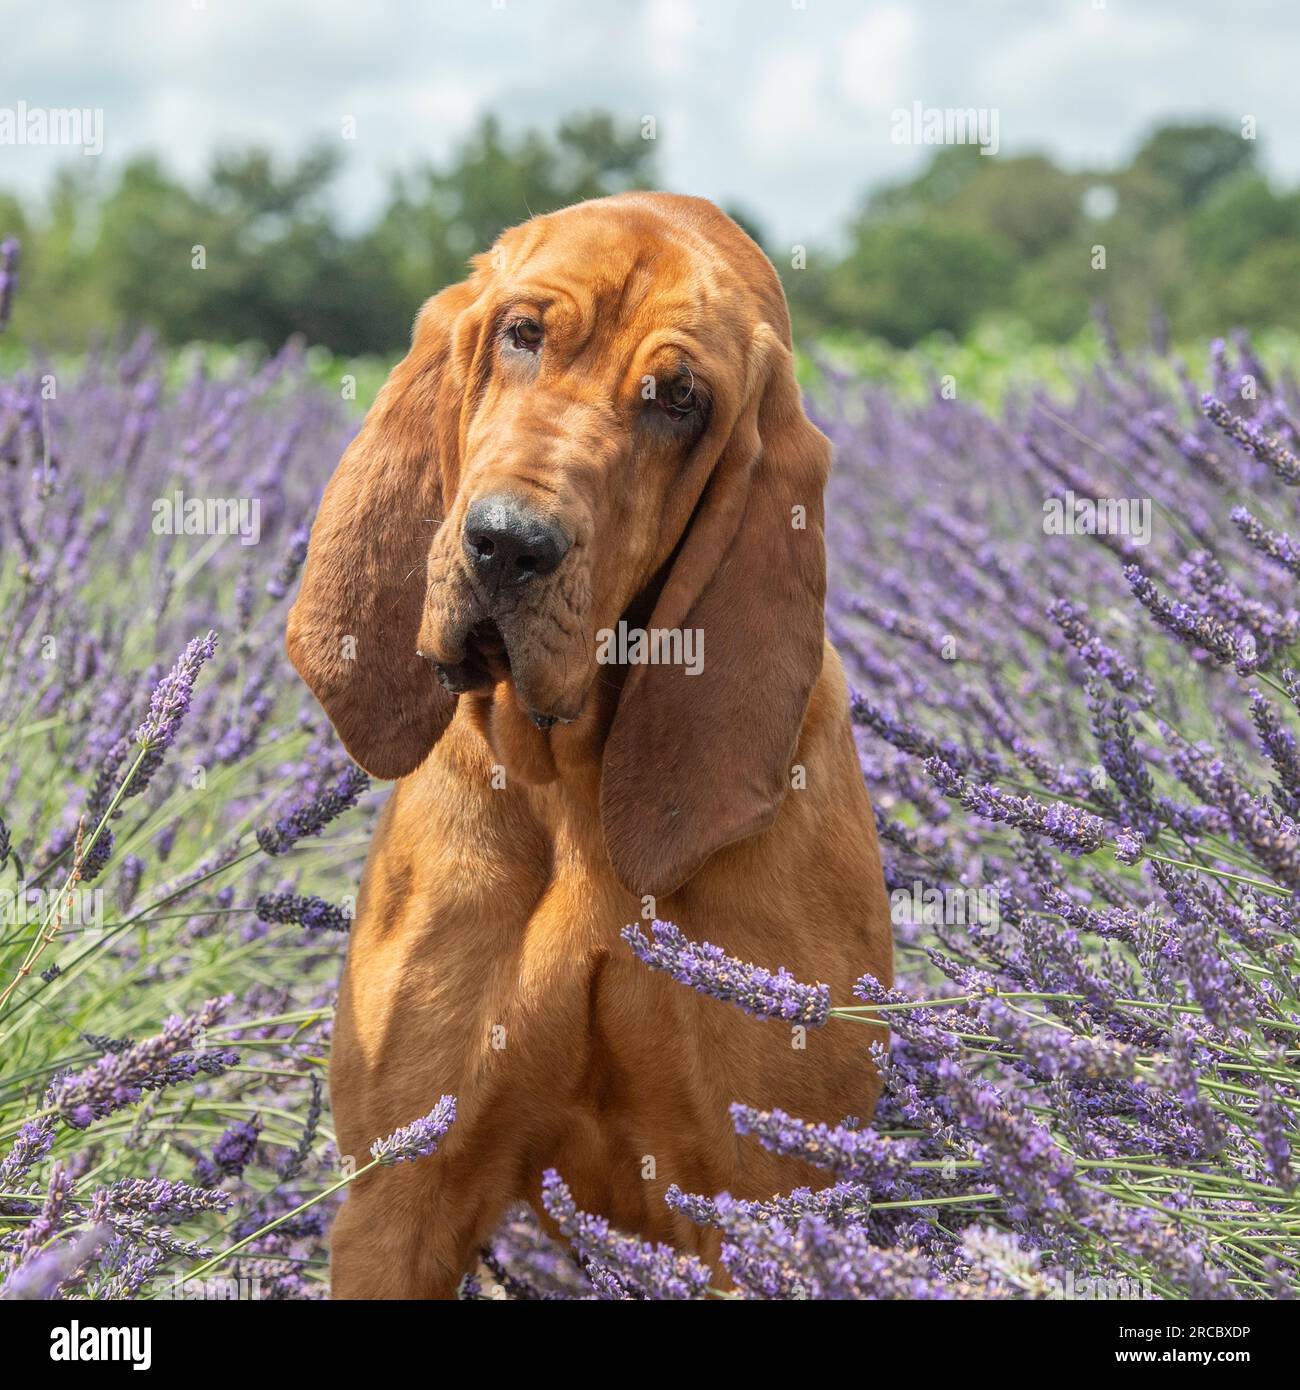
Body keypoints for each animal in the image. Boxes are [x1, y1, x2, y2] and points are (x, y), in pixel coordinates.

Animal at [287, 190, 895, 1295]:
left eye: (678, 398)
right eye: (522, 334)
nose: (506, 544)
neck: (571, 789)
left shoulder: (764, 1208)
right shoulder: (398, 1201)